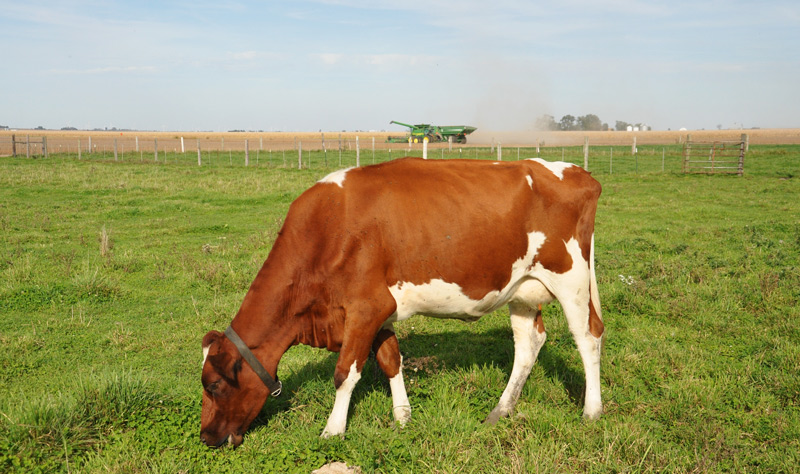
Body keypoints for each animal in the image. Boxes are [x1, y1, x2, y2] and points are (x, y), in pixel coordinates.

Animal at [200, 157, 604, 447]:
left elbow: (345, 373)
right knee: (529, 344)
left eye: (214, 385)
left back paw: (592, 411)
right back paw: (500, 411)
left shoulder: (364, 308)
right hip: (521, 290)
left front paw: (332, 431)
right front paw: (403, 417)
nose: (205, 437)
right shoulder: (380, 312)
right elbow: (391, 361)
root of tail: (577, 172)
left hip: (571, 279)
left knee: (588, 337)